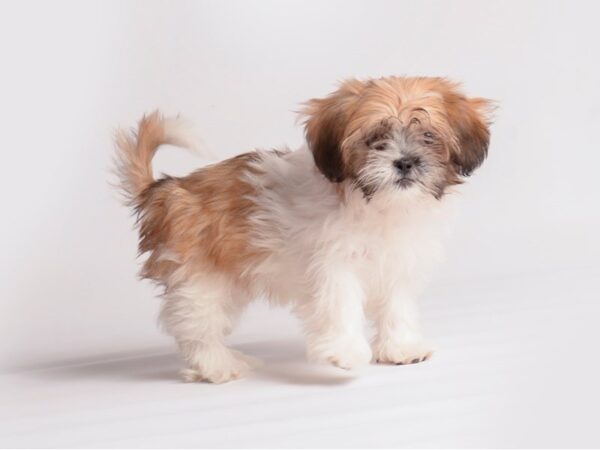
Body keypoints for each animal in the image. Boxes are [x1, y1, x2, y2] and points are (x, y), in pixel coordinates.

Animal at [113, 76, 492, 384]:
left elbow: (397, 307)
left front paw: (402, 348)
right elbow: (341, 304)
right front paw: (346, 352)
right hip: (199, 278)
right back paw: (218, 366)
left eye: (428, 136)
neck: (380, 206)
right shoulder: (334, 263)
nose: (405, 161)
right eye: (375, 139)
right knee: (196, 328)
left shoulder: (399, 263)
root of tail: (164, 190)